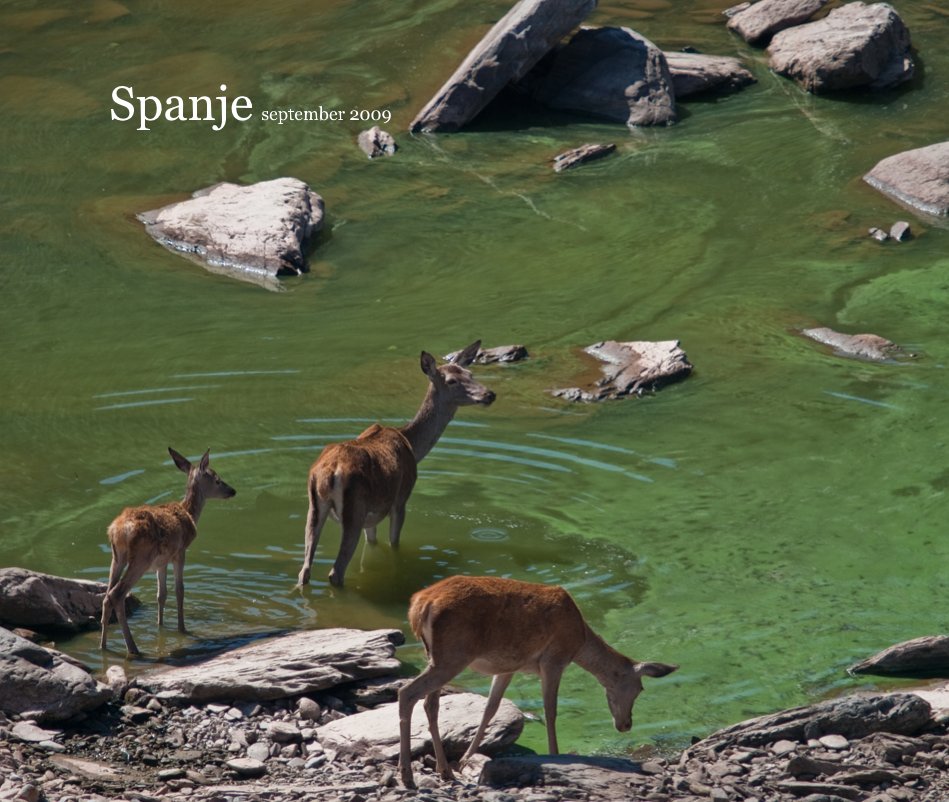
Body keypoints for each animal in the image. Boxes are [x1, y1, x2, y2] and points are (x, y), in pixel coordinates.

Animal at [100, 446, 237, 652]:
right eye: (217, 479)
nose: (232, 491)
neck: (189, 513)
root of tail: (118, 529)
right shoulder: (180, 551)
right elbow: (180, 590)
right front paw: (182, 628)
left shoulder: (161, 562)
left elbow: (161, 595)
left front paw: (161, 626)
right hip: (141, 558)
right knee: (116, 595)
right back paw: (133, 648)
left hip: (117, 557)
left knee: (106, 596)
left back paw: (103, 645)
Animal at [296, 338, 496, 588]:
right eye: (451, 380)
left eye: (470, 373)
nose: (489, 394)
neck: (412, 445)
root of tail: (329, 473)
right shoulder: (400, 500)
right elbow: (394, 545)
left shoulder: (371, 516)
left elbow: (372, 544)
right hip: (354, 510)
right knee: (335, 571)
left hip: (314, 508)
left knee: (304, 570)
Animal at [396, 576, 676, 788]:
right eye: (639, 688)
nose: (626, 725)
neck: (580, 641)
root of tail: (419, 606)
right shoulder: (554, 659)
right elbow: (550, 711)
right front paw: (555, 755)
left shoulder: (508, 667)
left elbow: (490, 708)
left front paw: (466, 759)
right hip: (453, 655)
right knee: (407, 692)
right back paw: (407, 776)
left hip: (435, 656)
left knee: (430, 704)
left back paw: (444, 770)